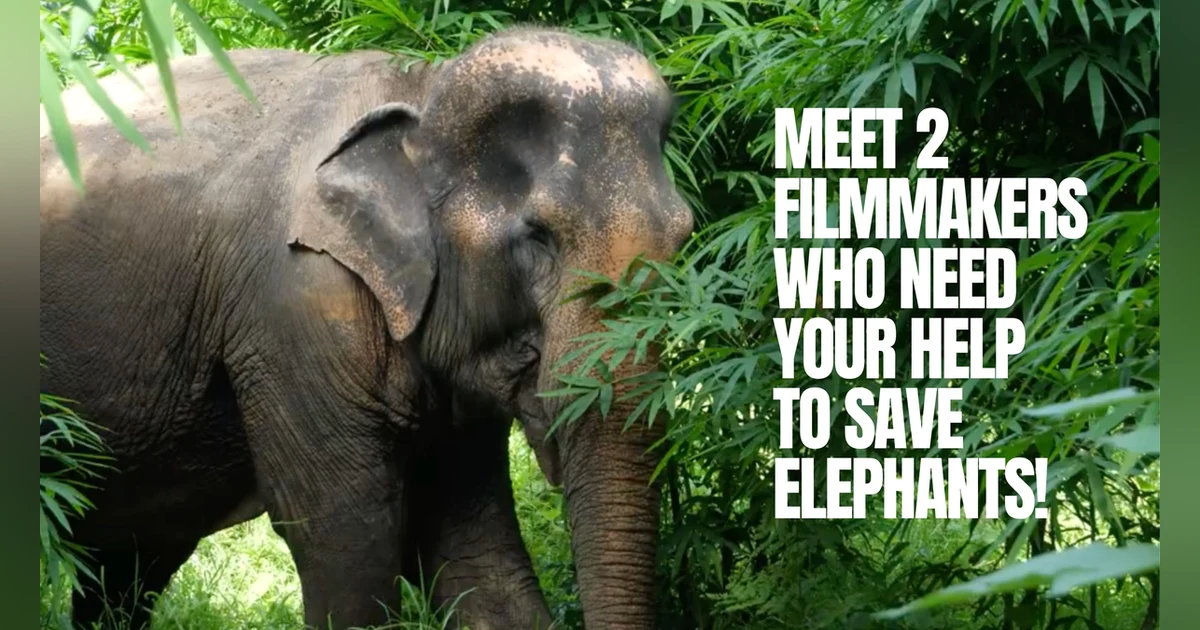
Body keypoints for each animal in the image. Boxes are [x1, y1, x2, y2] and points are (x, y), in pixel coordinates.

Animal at [39, 27, 692, 630]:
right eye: (538, 237)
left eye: (684, 236)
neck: (421, 87)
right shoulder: (296, 307)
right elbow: (348, 536)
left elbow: (474, 553)